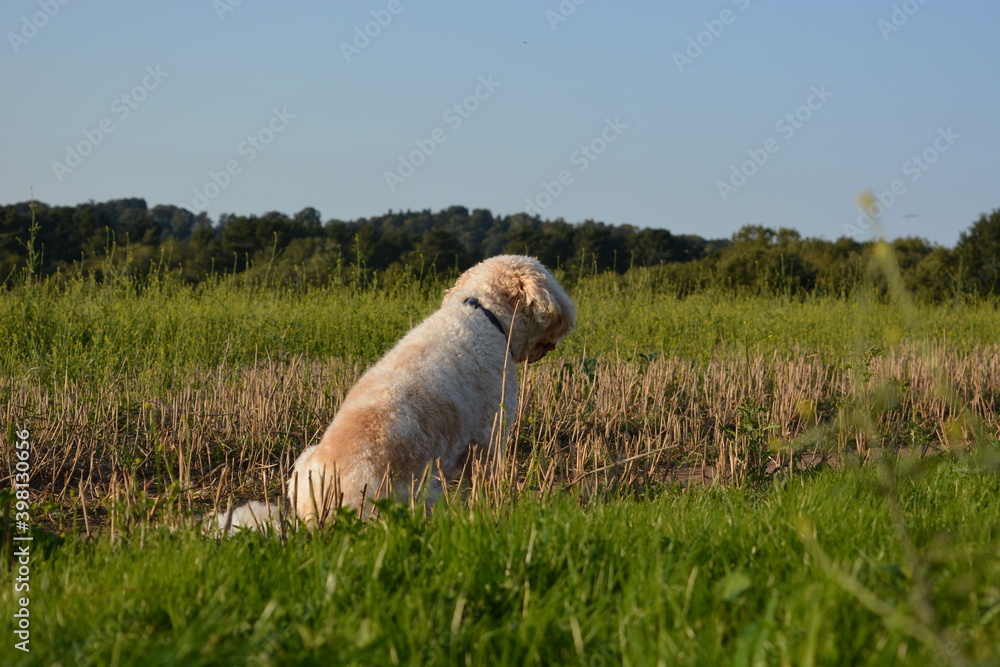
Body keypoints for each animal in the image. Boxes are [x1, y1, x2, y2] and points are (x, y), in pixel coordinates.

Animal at [215, 253, 576, 536]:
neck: (483, 314)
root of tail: (315, 517)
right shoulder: (489, 436)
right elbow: (484, 486)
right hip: (423, 491)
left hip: (303, 462)